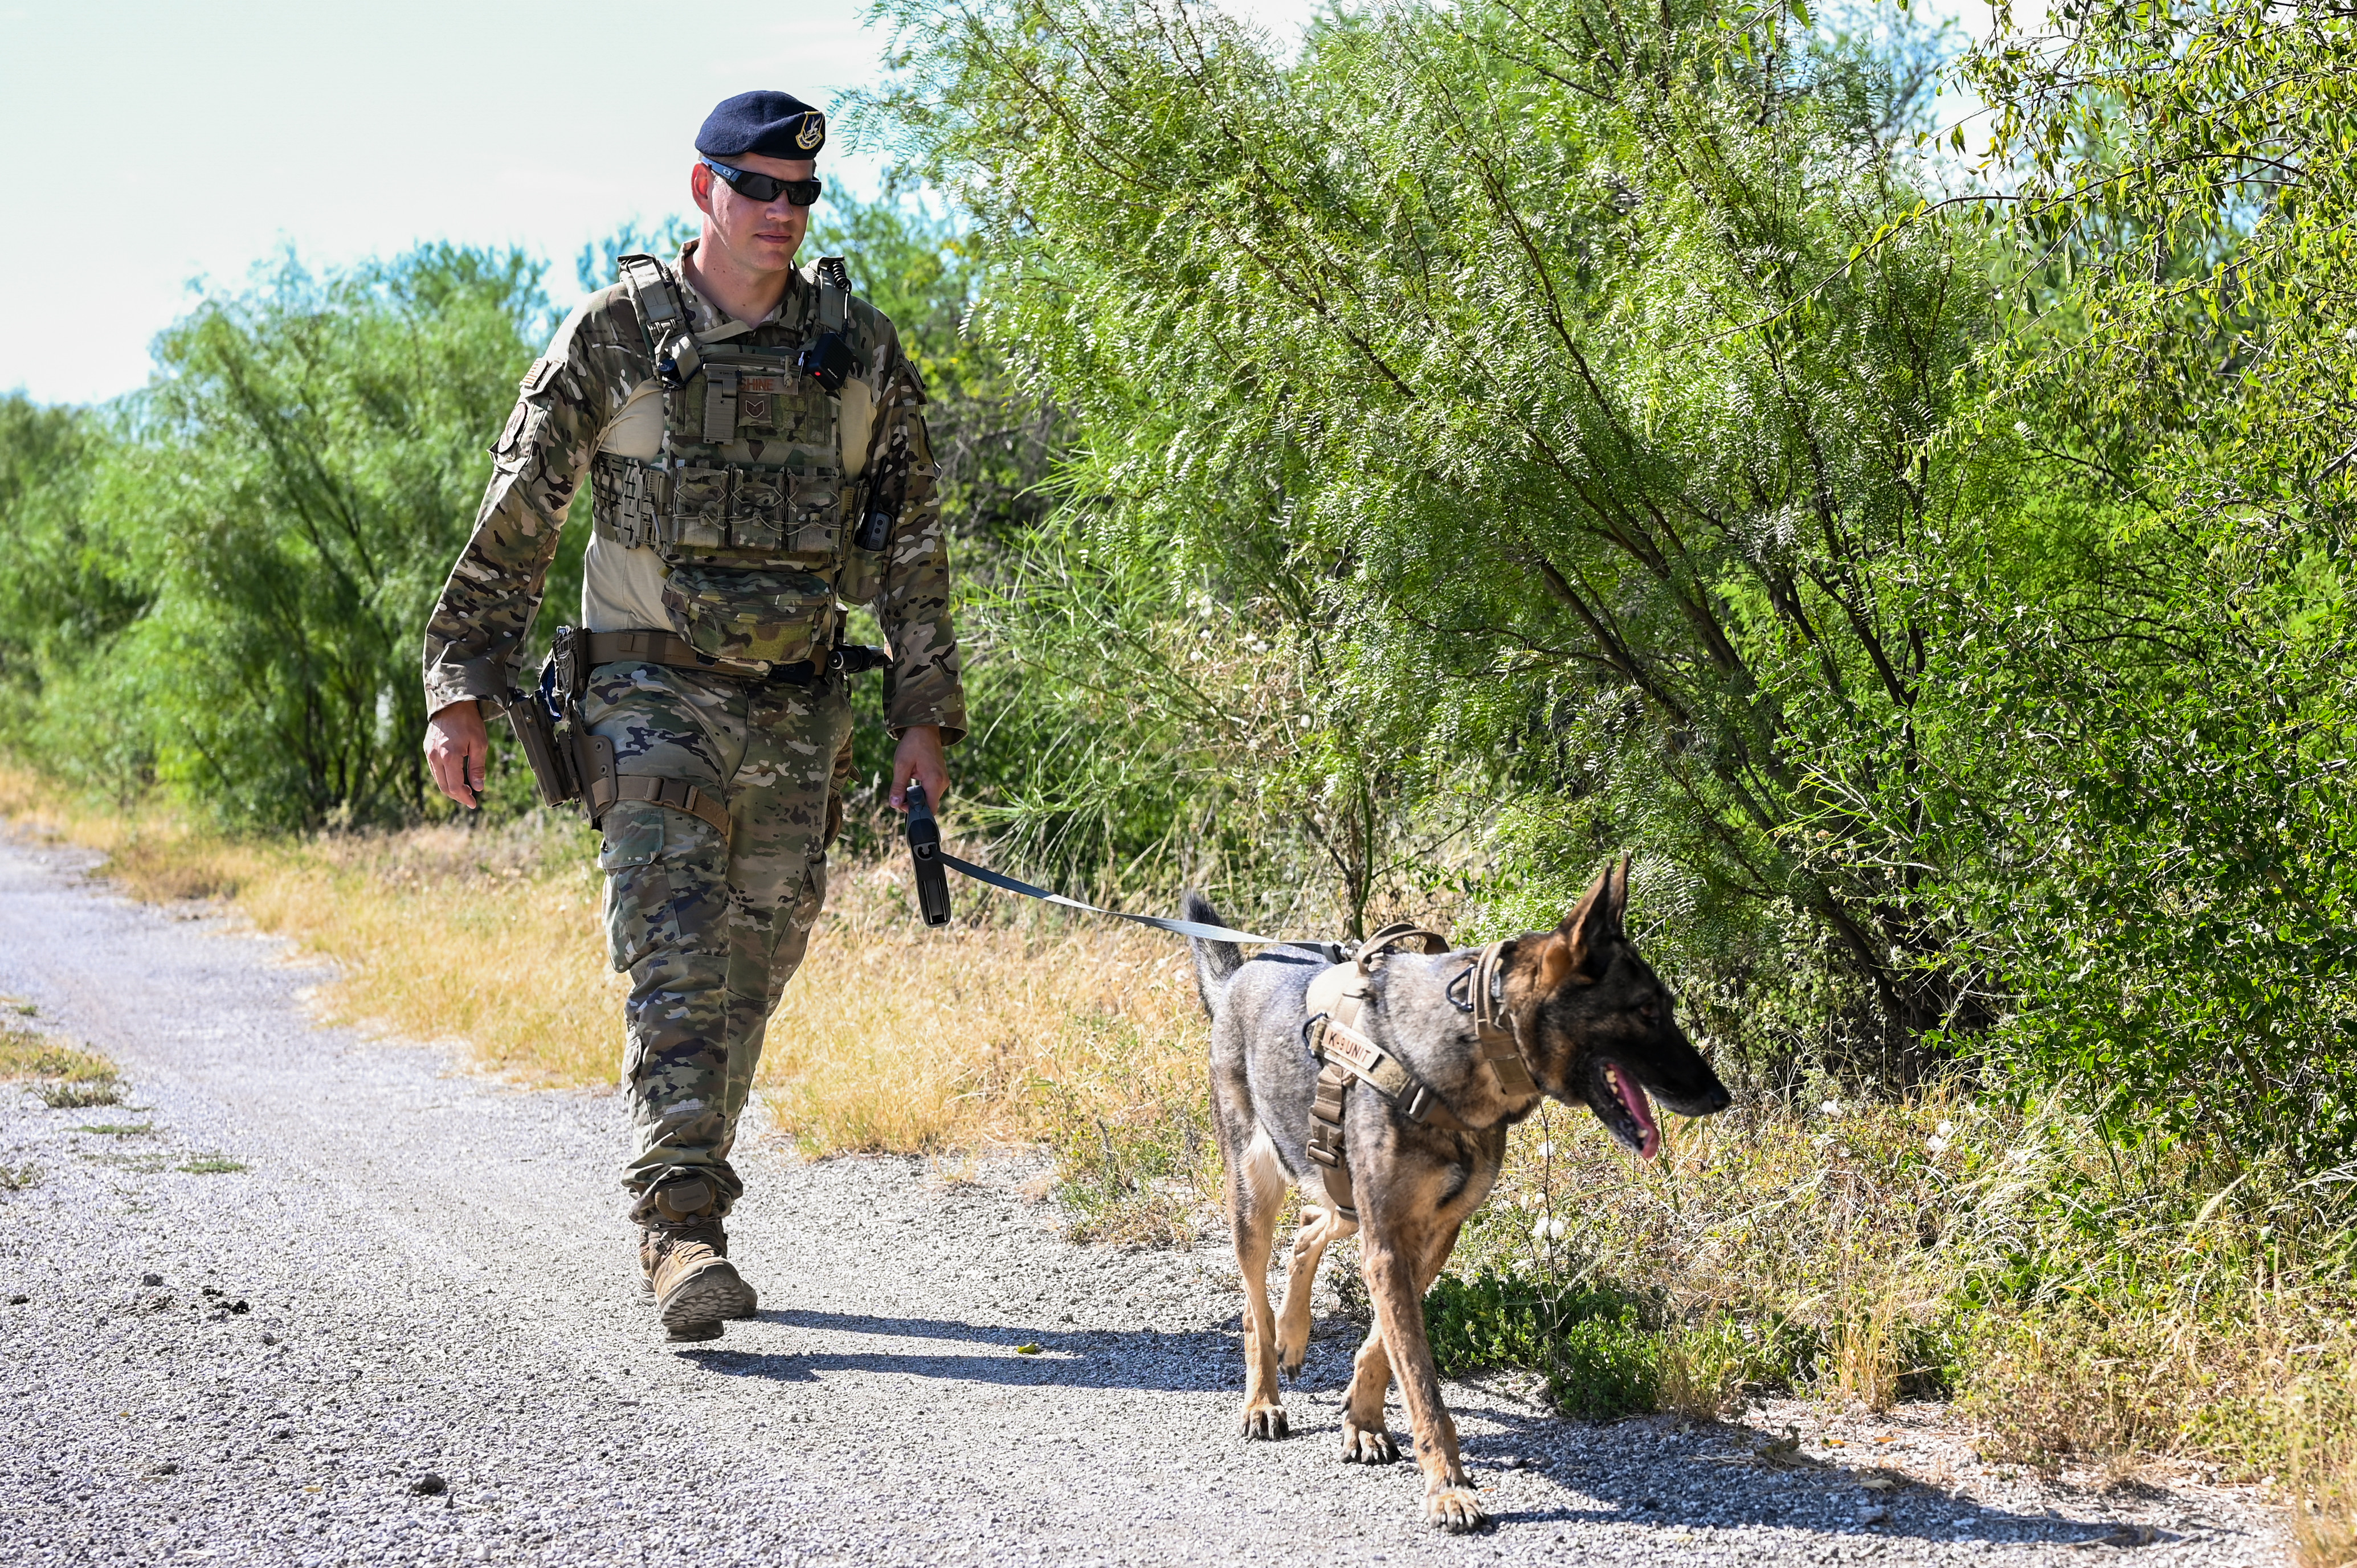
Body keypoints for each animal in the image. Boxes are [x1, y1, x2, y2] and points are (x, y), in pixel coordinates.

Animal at [1197, 858, 1734, 1528]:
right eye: (1645, 1010)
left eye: (1664, 1006)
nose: (1721, 1096)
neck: (1467, 1044)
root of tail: (1242, 972)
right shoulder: (1388, 1245)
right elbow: (1421, 1381)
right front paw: (1447, 1486)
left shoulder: (1426, 1238)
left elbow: (1382, 1348)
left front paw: (1363, 1420)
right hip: (1255, 1191)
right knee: (1254, 1306)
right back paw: (1262, 1396)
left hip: (1340, 1192)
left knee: (1308, 1229)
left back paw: (1296, 1335)